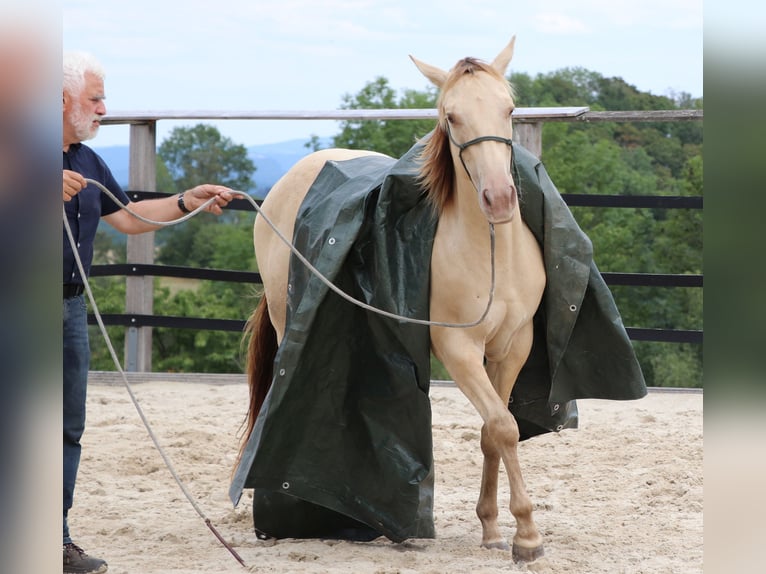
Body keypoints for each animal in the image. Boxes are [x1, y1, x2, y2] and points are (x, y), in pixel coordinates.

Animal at [239, 36, 546, 562]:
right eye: (451, 116)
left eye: (508, 109)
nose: (500, 199)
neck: (490, 257)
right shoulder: (459, 351)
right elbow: (505, 427)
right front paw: (527, 534)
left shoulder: (513, 346)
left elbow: (493, 430)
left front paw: (491, 528)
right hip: (283, 317)